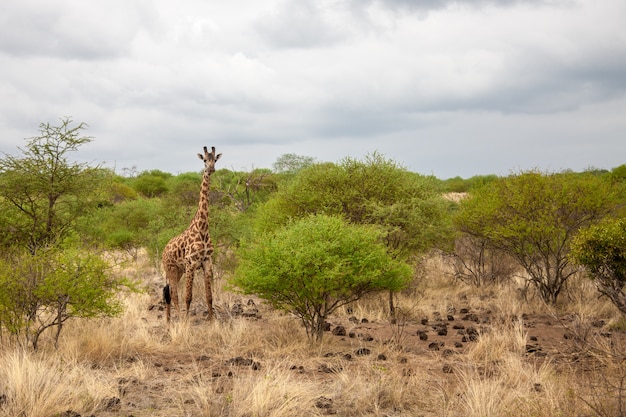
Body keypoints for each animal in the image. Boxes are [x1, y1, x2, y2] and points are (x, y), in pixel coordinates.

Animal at [162, 146, 221, 322]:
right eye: (204, 160)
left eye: (215, 159)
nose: (211, 169)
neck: (203, 229)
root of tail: (163, 251)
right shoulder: (191, 264)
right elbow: (188, 296)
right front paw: (187, 322)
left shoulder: (207, 262)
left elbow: (209, 297)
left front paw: (212, 321)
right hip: (171, 269)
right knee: (173, 294)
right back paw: (180, 319)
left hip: (178, 271)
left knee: (169, 293)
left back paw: (168, 321)